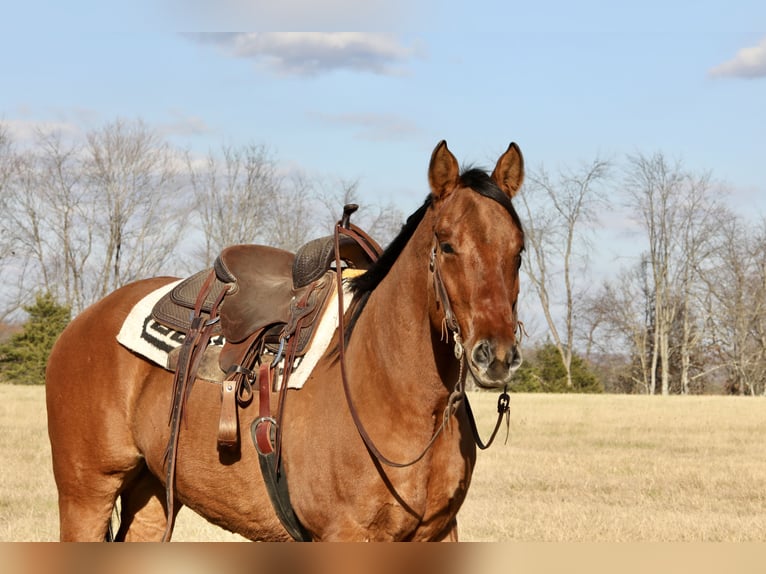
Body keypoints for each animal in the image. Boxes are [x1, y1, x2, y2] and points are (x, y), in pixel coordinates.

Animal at [45, 140, 526, 541]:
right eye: (446, 245)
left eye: (518, 251)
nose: (496, 355)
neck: (393, 391)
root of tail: (80, 324)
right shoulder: (346, 535)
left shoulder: (438, 533)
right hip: (86, 495)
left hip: (152, 494)